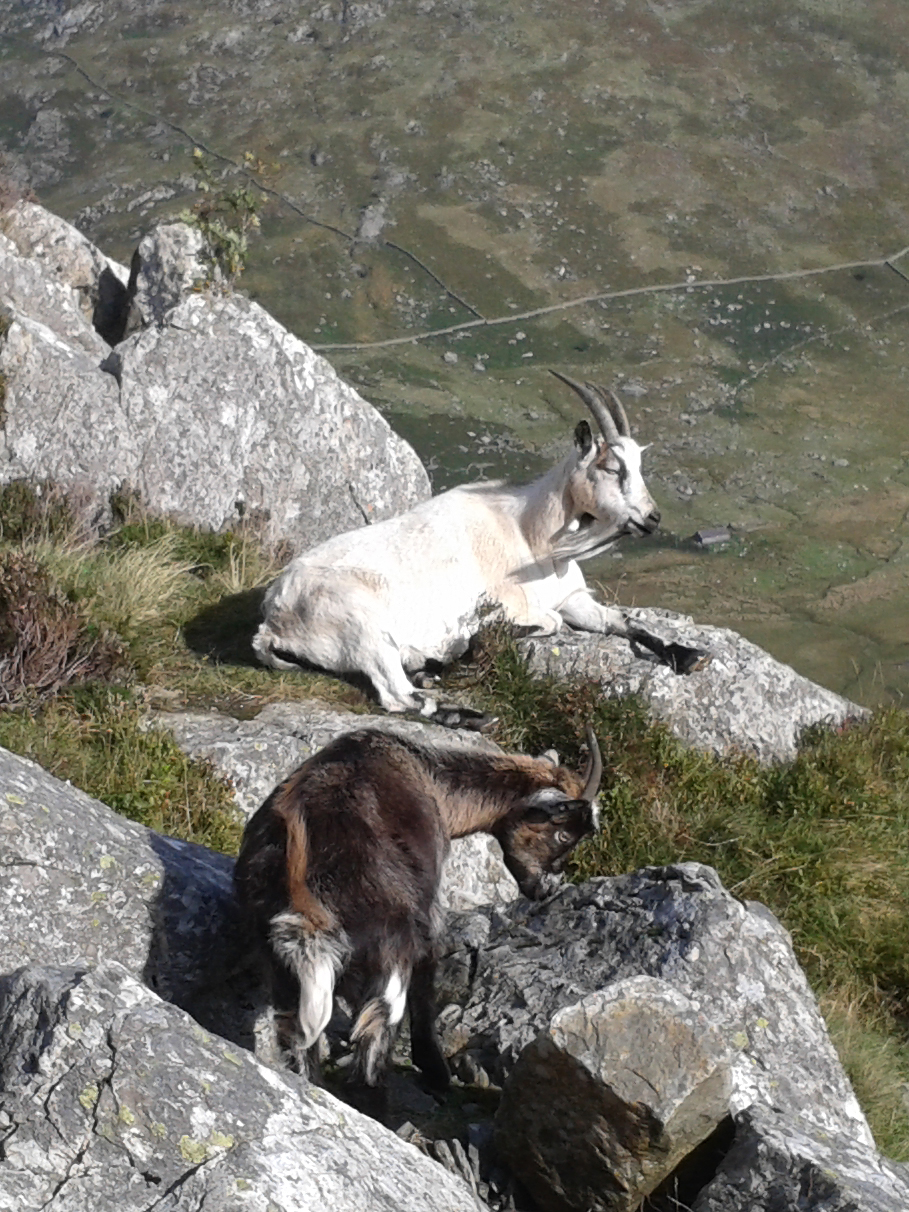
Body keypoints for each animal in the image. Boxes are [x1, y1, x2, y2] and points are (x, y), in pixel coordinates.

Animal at [235, 722, 606, 1110]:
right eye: (562, 834)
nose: (547, 889)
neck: (433, 781)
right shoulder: (429, 916)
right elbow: (426, 985)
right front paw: (435, 1072)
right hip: (391, 945)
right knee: (377, 1025)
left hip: (281, 956)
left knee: (296, 1031)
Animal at [254, 368, 712, 722]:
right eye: (613, 467)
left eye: (638, 465)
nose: (652, 518)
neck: (532, 538)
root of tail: (273, 617)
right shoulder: (511, 603)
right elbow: (547, 624)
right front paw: (471, 643)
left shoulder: (573, 597)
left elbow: (623, 621)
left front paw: (688, 654)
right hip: (363, 626)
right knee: (397, 696)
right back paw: (466, 711)